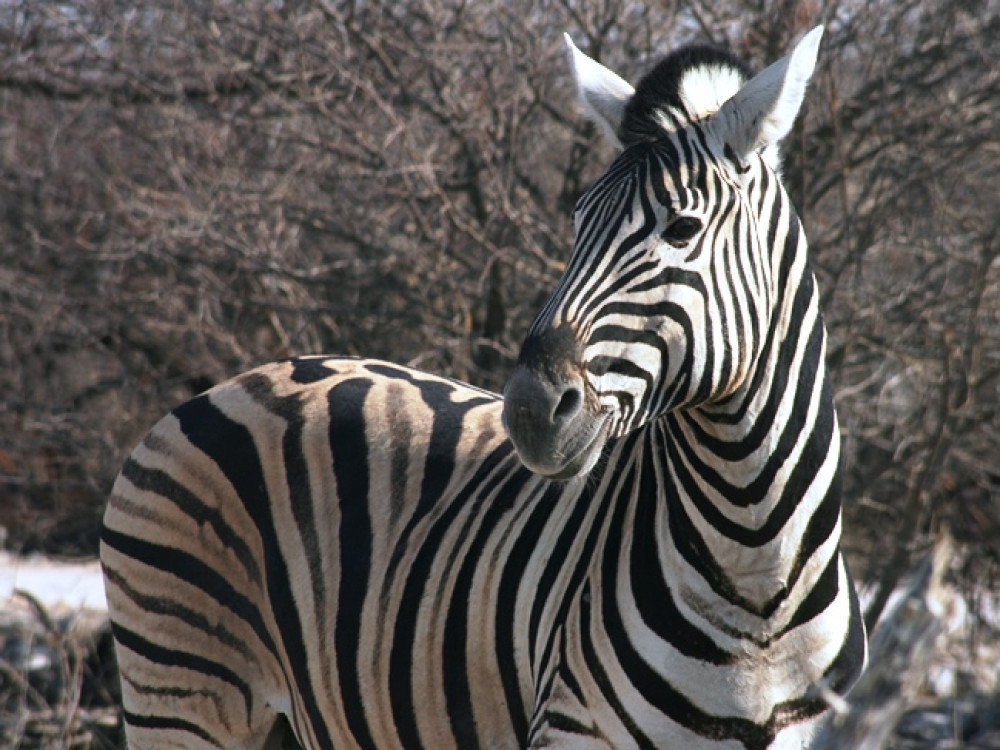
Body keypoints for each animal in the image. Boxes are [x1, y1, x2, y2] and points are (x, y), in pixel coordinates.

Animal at [101, 26, 868, 748]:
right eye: (577, 222)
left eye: (683, 228)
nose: (529, 411)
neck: (755, 570)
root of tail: (228, 386)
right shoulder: (571, 726)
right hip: (180, 691)